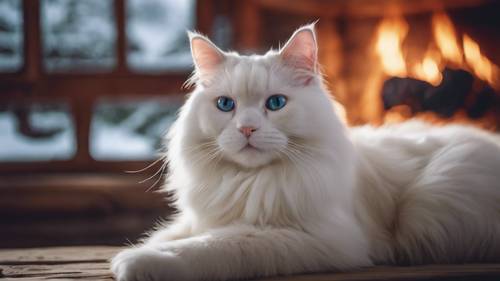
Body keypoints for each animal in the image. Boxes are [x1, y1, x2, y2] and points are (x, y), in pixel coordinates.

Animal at [112, 24, 500, 280]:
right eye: (225, 105)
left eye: (275, 103)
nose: (247, 129)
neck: (249, 182)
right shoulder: (201, 218)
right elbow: (171, 233)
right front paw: (136, 251)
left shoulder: (316, 237)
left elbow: (211, 246)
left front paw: (138, 262)